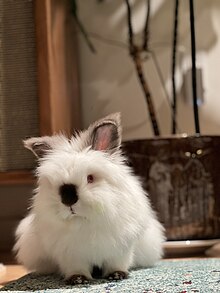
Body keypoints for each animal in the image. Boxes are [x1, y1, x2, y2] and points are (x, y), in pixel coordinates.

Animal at [13, 113, 165, 284]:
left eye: (90, 178)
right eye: (55, 183)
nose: (68, 200)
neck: (83, 221)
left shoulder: (120, 249)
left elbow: (117, 263)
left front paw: (116, 275)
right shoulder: (70, 254)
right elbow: (76, 267)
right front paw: (78, 279)